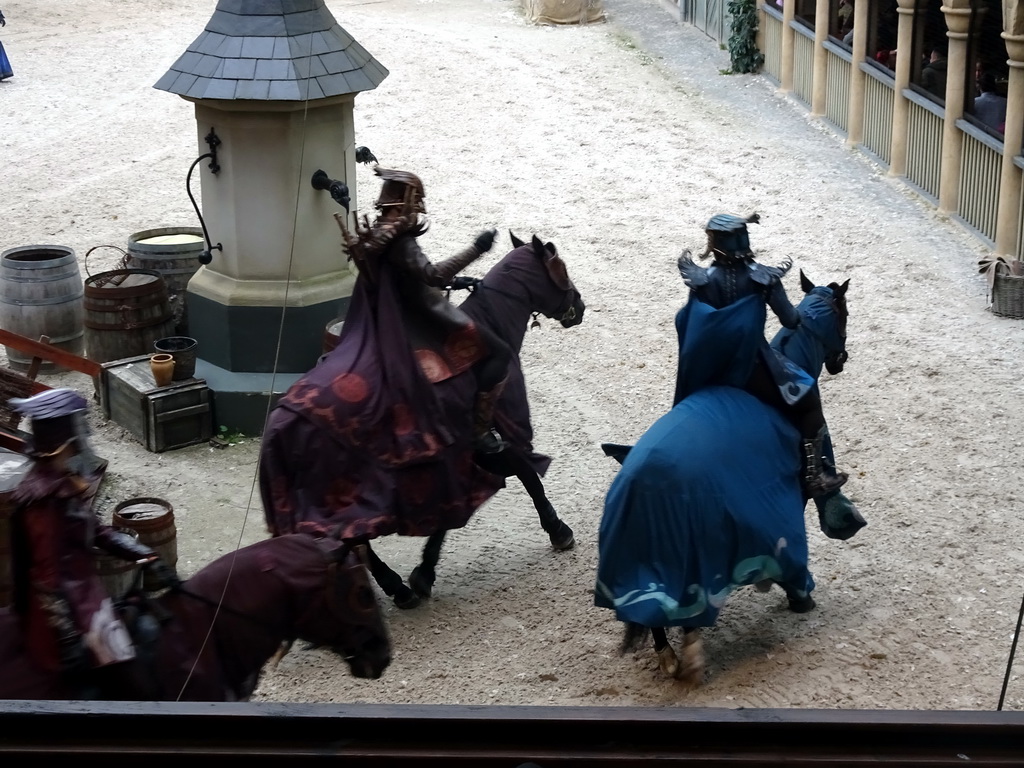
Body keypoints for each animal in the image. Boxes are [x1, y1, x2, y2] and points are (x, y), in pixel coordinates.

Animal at [260, 231, 589, 610]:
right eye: (561, 269)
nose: (580, 307)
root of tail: (281, 420)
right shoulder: (481, 447)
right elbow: (525, 474)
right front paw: (558, 529)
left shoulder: (464, 459)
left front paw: (424, 572)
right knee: (354, 540)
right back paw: (393, 587)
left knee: (350, 541)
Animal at [593, 270, 856, 684]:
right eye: (844, 314)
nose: (840, 360)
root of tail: (637, 485)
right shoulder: (794, 498)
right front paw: (801, 597)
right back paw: (691, 655)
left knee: (651, 611)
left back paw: (668, 656)